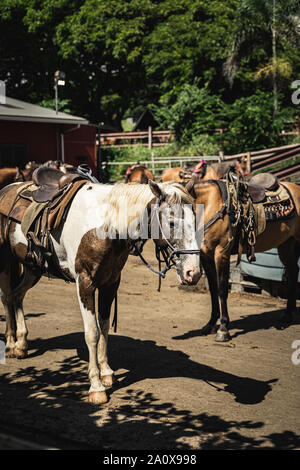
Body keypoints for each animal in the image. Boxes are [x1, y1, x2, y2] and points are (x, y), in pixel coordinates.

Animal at [0, 180, 202, 404]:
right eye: (172, 223)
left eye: (195, 219)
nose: (193, 272)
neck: (105, 225)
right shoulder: (85, 282)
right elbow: (92, 333)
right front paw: (96, 387)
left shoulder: (110, 282)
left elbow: (104, 327)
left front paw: (106, 373)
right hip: (5, 259)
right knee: (7, 295)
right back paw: (9, 344)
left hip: (33, 268)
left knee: (17, 295)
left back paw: (21, 345)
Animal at [188, 176, 300, 342]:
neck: (209, 204)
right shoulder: (206, 255)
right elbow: (213, 290)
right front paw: (210, 325)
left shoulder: (221, 253)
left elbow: (222, 290)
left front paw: (223, 329)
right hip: (286, 244)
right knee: (293, 271)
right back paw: (287, 314)